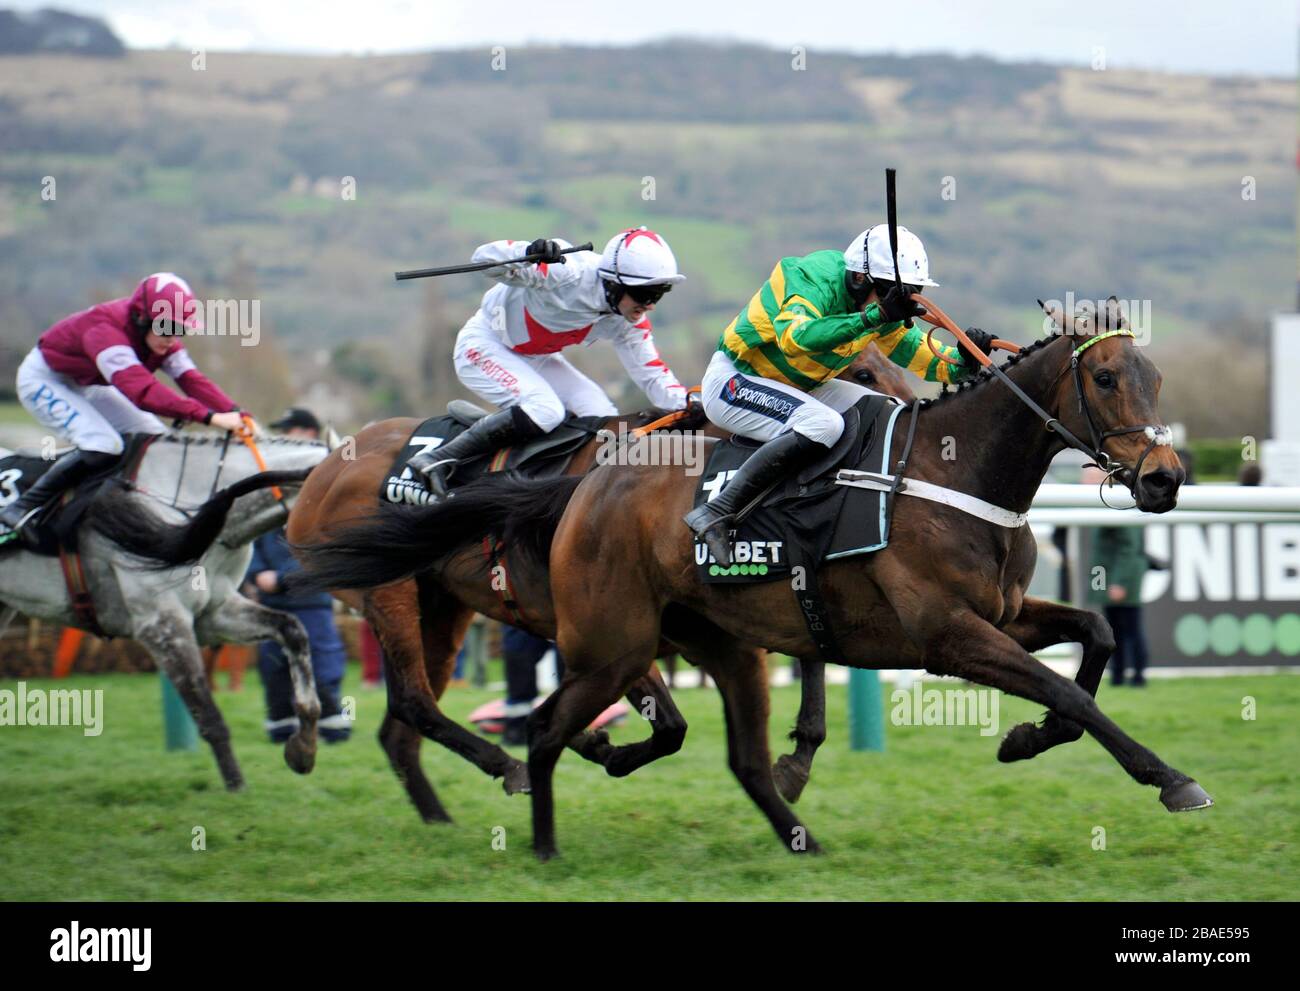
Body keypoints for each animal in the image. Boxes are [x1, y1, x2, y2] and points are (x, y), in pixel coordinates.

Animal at [2, 431, 335, 785]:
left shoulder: (214, 613)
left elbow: (292, 630)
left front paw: (303, 749)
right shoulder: (161, 624)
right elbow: (207, 713)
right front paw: (237, 788)